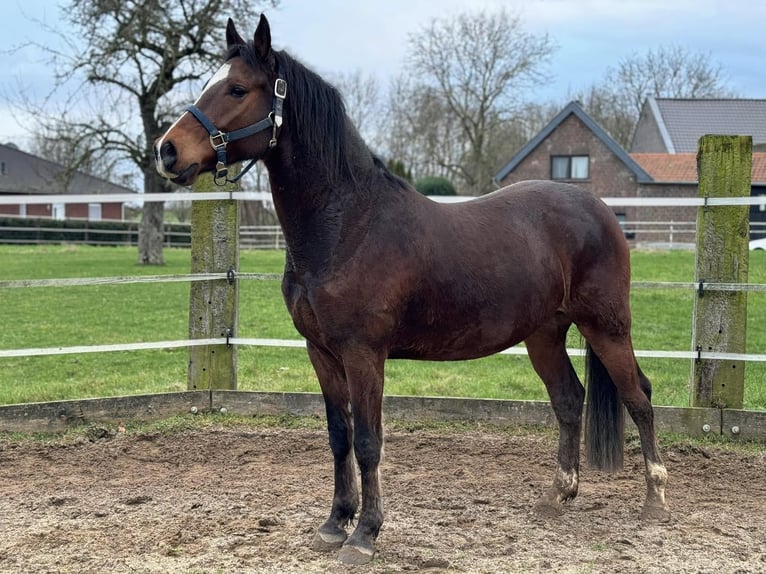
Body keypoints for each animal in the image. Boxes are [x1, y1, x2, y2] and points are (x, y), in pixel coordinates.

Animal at [156, 13, 672, 568]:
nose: (168, 151)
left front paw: (365, 534)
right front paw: (334, 524)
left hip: (606, 326)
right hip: (545, 334)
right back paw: (557, 497)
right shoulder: (321, 352)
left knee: (639, 397)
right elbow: (338, 436)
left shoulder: (364, 353)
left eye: (236, 89)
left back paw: (655, 501)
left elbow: (368, 441)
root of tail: (599, 209)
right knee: (570, 400)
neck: (349, 225)